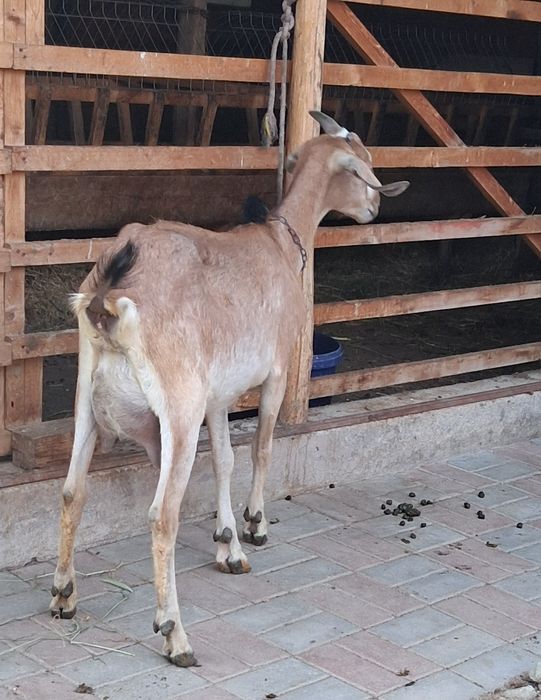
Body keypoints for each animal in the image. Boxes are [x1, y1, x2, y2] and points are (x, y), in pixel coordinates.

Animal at [50, 111, 409, 667]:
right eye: (361, 166)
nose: (373, 208)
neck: (280, 244)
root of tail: (109, 297)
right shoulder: (276, 372)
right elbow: (261, 449)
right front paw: (254, 527)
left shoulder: (218, 395)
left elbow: (224, 458)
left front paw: (227, 543)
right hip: (178, 408)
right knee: (163, 515)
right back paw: (175, 634)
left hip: (89, 399)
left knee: (72, 491)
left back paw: (65, 595)